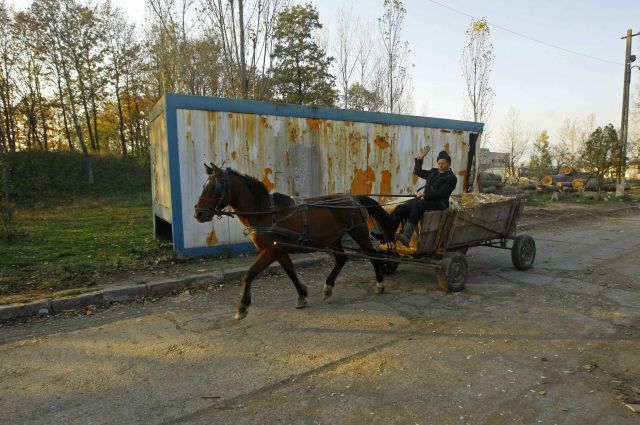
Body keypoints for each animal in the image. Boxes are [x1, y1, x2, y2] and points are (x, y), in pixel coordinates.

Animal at [195, 162, 396, 318]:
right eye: (204, 185)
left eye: (214, 187)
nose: (198, 213)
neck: (265, 212)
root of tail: (353, 197)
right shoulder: (279, 250)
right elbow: (290, 271)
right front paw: (302, 295)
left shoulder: (271, 250)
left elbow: (249, 274)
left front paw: (243, 307)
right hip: (333, 238)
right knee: (342, 258)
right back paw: (328, 286)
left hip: (358, 232)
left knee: (371, 254)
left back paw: (379, 283)